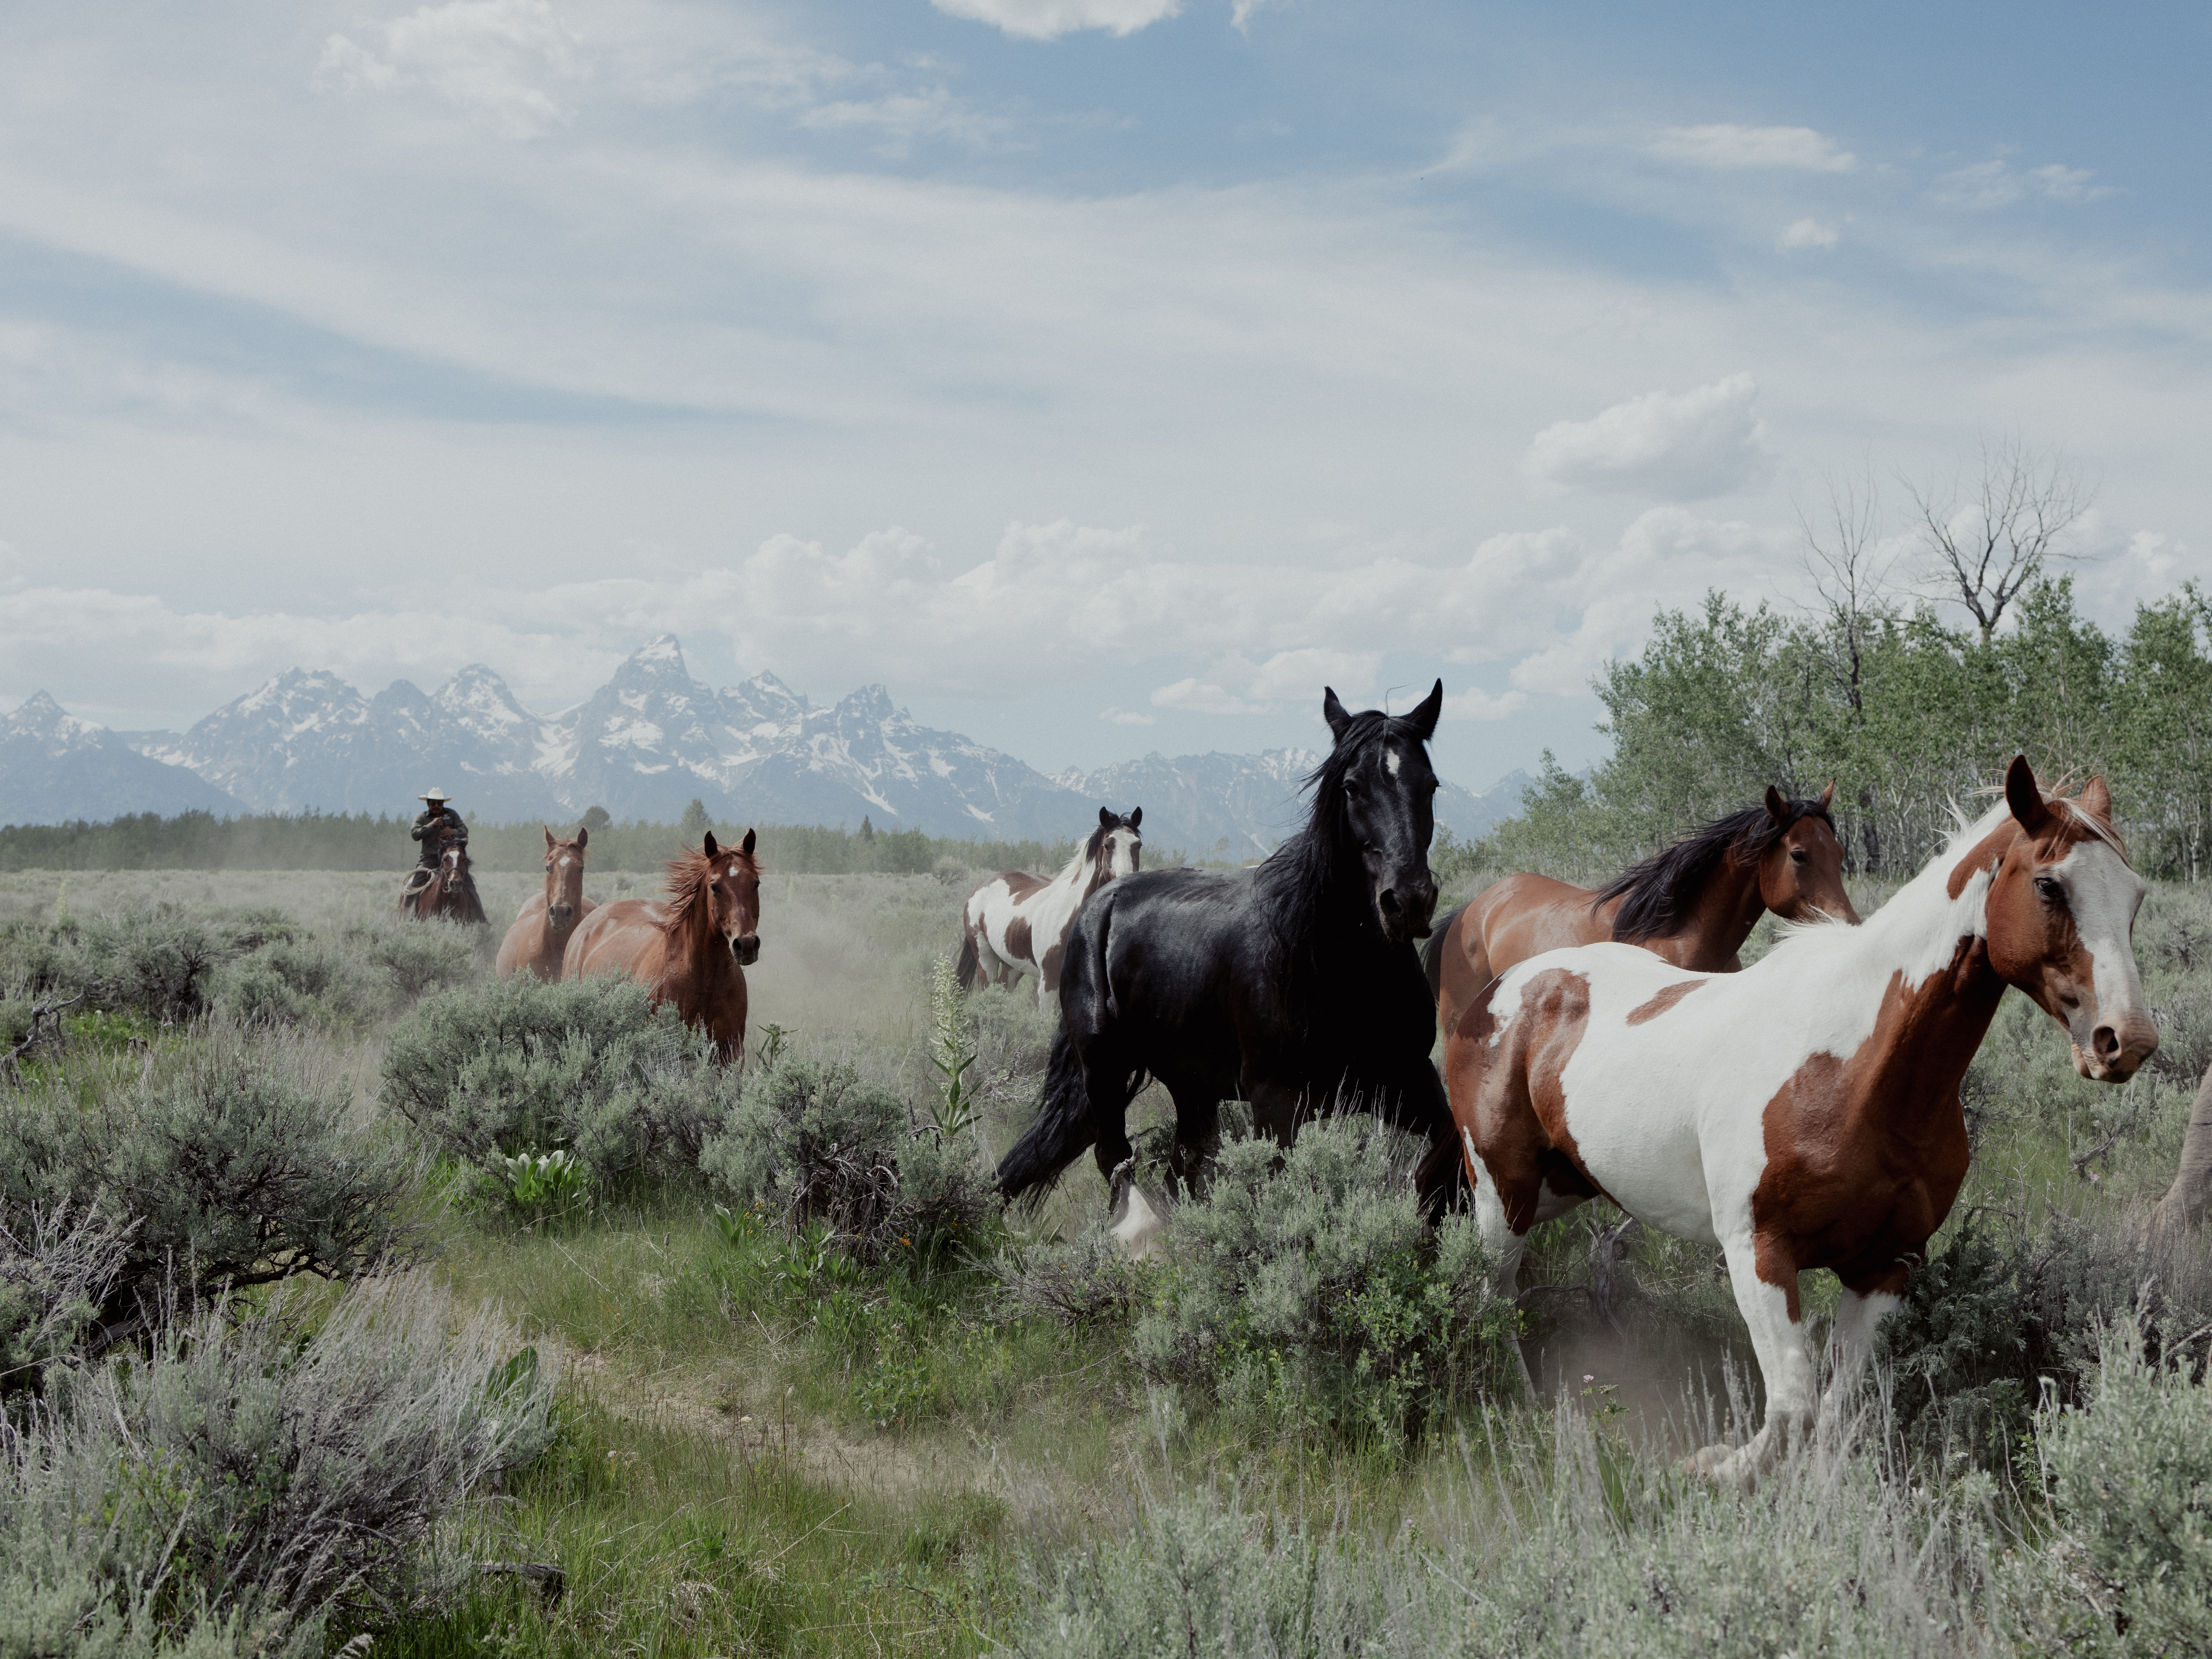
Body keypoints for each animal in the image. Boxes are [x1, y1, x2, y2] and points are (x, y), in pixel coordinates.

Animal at [957, 808, 1143, 1007]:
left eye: (1138, 845)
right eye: (1108, 845)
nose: (1126, 883)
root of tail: (982, 886)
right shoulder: (1049, 984)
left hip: (1013, 967)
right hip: (986, 961)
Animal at [996, 681, 1459, 1213]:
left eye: (1430, 785)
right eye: (1351, 786)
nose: (1408, 901)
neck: (1330, 964)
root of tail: (1101, 902)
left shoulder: (1410, 1081)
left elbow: (1452, 1166)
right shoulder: (1276, 1104)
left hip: (1191, 1086)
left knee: (1182, 1167)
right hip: (1104, 1072)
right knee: (1117, 1162)